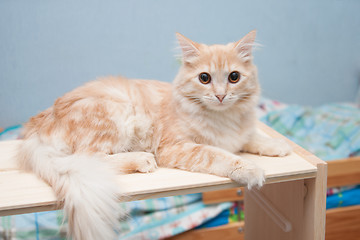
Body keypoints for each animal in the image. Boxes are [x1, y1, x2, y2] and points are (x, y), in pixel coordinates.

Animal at [17, 30, 292, 240]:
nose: (221, 95)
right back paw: (141, 159)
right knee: (90, 158)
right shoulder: (177, 147)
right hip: (117, 115)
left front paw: (278, 145)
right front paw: (251, 170)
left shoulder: (238, 137)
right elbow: (220, 155)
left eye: (234, 77)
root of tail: (34, 128)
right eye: (204, 78)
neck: (223, 119)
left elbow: (253, 139)